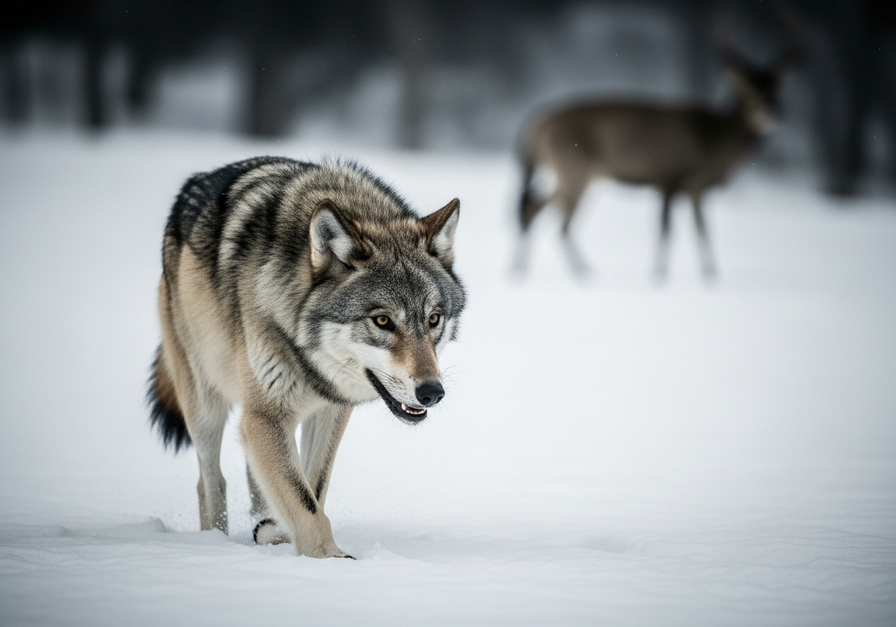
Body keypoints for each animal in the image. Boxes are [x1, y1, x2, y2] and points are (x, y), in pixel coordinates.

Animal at [147, 157, 465, 558]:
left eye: (433, 319)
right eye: (382, 320)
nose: (432, 393)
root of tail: (194, 182)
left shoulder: (329, 411)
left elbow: (313, 486)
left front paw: (276, 533)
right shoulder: (266, 413)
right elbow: (303, 501)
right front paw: (329, 558)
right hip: (205, 404)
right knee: (210, 482)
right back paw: (214, 543)